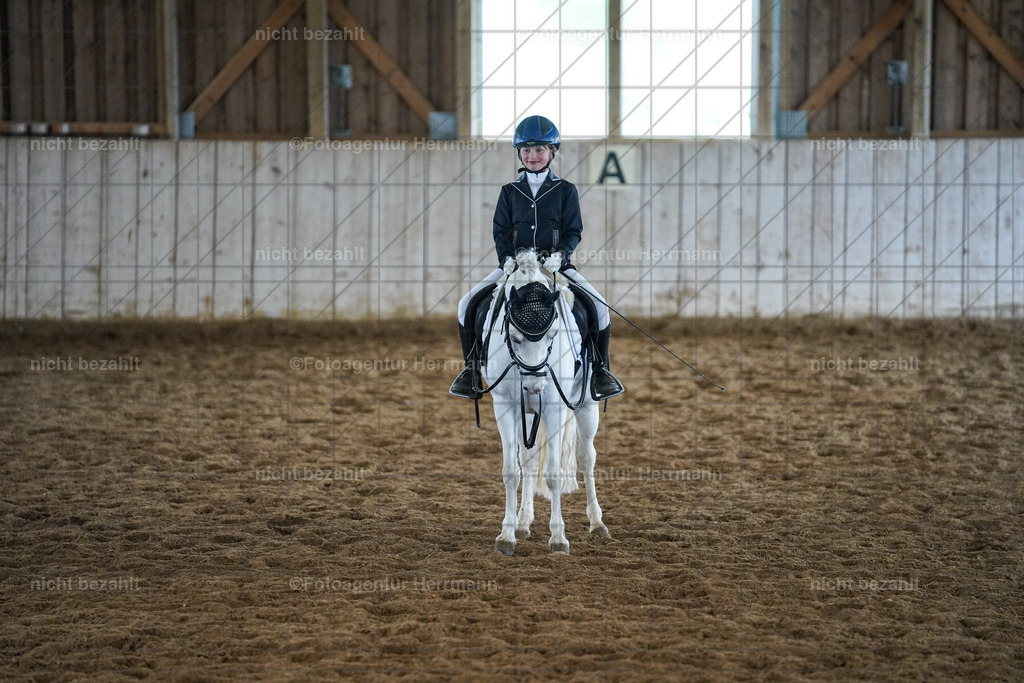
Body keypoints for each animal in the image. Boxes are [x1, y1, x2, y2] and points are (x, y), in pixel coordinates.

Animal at [479, 249, 610, 555]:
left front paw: (559, 539)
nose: (534, 387)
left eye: (552, 335)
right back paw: (523, 523)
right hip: (527, 413)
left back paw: (597, 523)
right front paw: (507, 535)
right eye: (514, 338)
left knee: (587, 457)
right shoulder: (505, 408)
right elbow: (511, 471)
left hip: (587, 407)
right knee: (527, 461)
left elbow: (554, 474)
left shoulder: (554, 409)